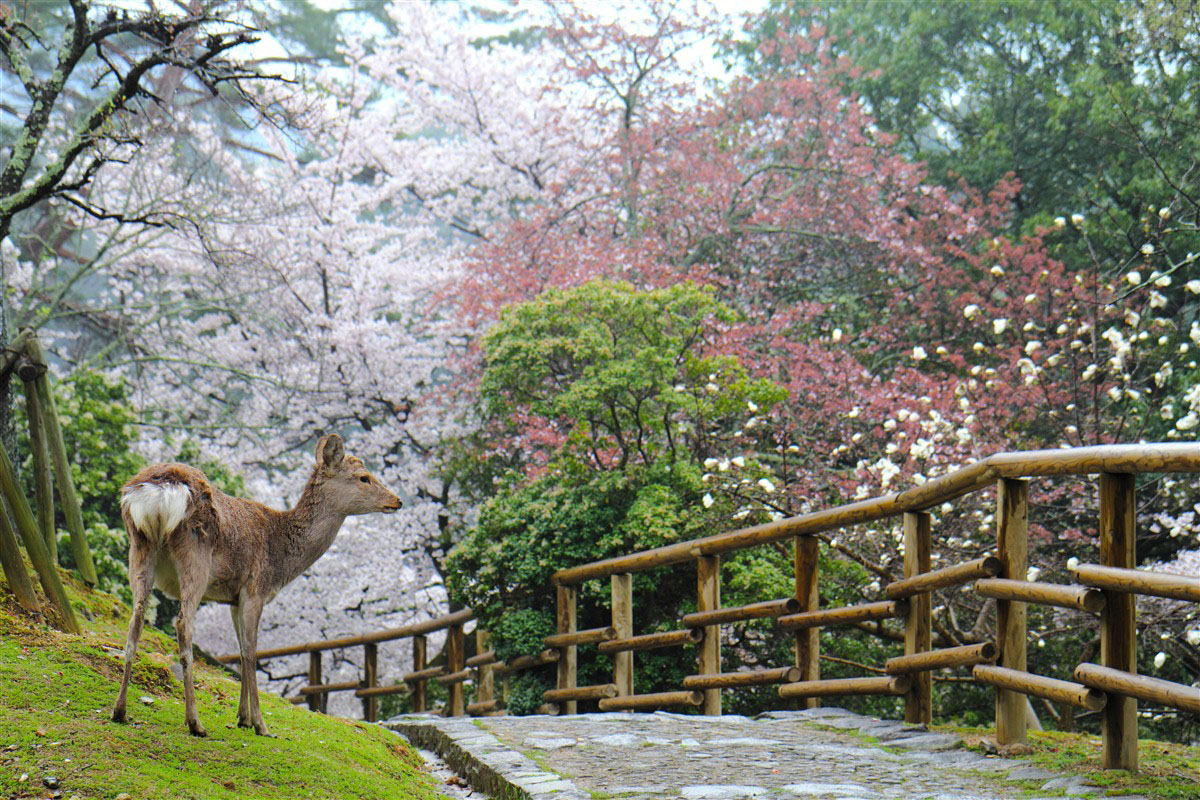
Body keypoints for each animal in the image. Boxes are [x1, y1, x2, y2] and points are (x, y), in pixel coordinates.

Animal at [109, 434, 398, 734]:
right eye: (364, 477)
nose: (397, 501)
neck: (282, 561)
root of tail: (158, 490)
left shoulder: (234, 599)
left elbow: (240, 649)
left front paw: (242, 717)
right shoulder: (255, 589)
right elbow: (251, 651)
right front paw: (260, 723)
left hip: (139, 549)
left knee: (135, 620)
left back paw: (119, 710)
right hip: (195, 554)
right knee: (183, 624)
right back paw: (195, 722)